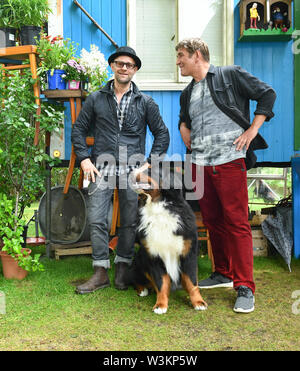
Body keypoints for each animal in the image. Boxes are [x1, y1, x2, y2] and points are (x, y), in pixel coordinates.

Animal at [127, 166, 207, 314]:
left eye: (149, 169)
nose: (129, 169)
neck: (157, 208)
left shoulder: (189, 253)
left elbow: (192, 281)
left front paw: (198, 302)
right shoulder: (154, 255)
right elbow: (162, 282)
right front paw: (160, 304)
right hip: (139, 260)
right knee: (135, 279)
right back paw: (143, 289)